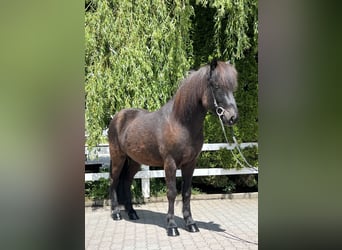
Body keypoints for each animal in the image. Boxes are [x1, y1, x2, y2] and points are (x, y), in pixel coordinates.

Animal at [107, 59, 238, 235]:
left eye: (233, 87)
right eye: (216, 86)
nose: (232, 117)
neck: (180, 123)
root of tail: (117, 117)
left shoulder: (190, 164)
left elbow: (186, 192)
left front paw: (191, 223)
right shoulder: (170, 163)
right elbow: (172, 193)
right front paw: (172, 226)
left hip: (134, 161)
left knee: (126, 181)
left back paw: (132, 213)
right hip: (118, 157)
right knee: (113, 180)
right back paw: (116, 213)